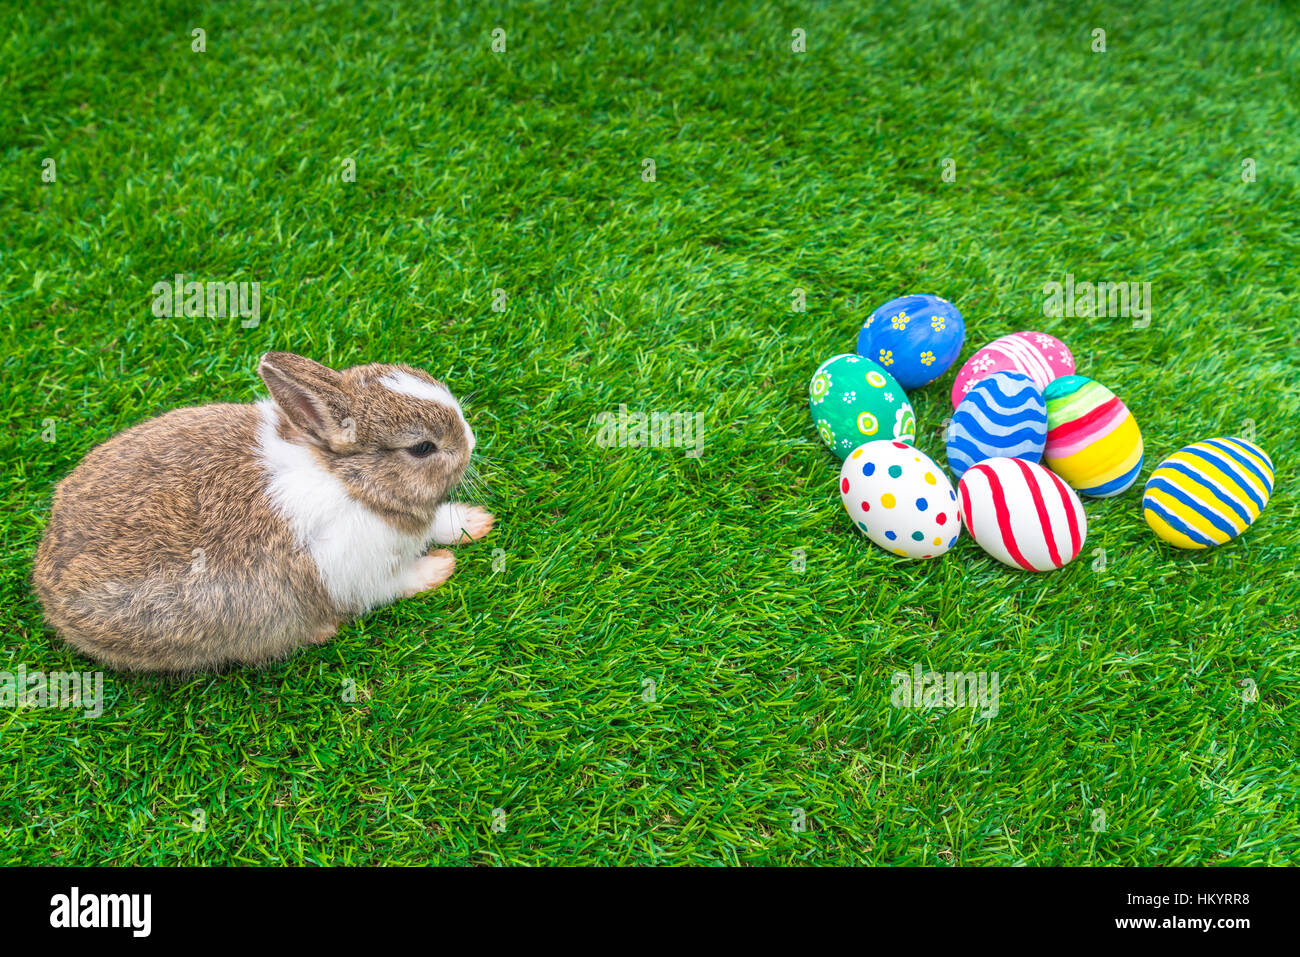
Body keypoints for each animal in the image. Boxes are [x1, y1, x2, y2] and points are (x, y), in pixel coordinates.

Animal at [32, 352, 494, 673]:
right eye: (422, 448)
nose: (471, 441)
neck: (351, 480)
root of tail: (46, 593)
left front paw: (475, 521)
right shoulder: (357, 573)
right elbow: (398, 583)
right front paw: (441, 567)